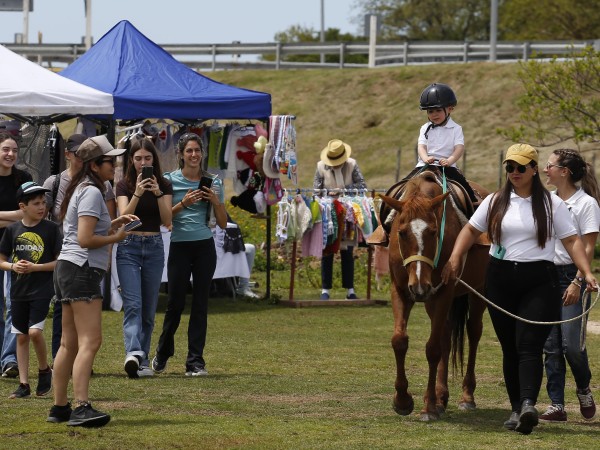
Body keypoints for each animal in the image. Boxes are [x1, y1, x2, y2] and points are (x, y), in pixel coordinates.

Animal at [382, 171, 490, 422]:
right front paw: (403, 400)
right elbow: (399, 340)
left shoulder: (443, 292)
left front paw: (428, 407)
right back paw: (442, 397)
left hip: (478, 291)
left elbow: (432, 349)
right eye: (401, 232)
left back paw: (466, 396)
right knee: (446, 335)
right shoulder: (400, 290)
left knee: (473, 332)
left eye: (432, 232)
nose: (419, 286)